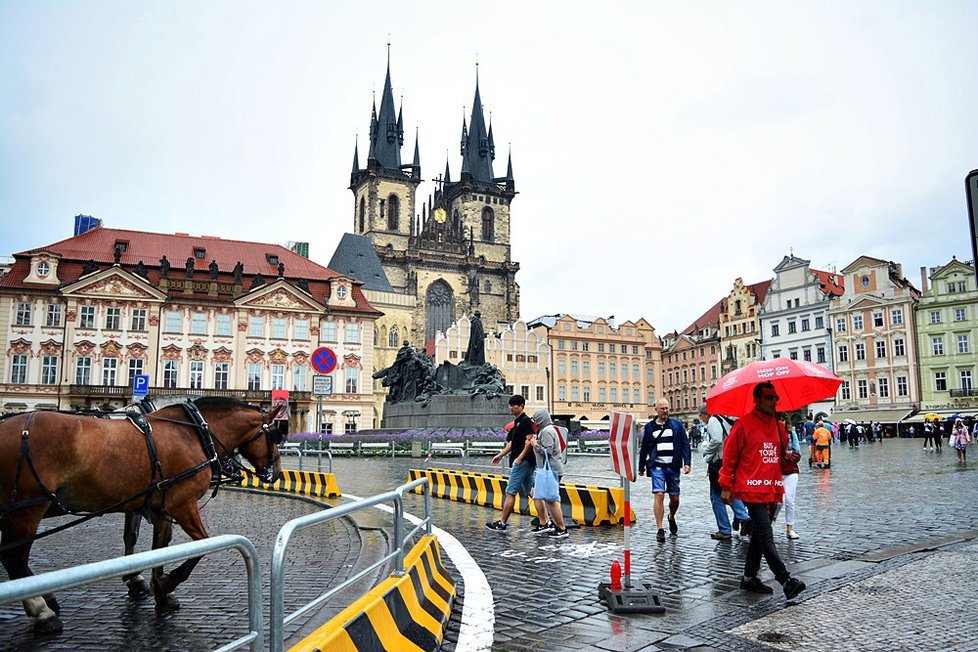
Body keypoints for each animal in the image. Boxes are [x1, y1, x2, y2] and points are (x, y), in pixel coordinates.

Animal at [0, 394, 282, 636]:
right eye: (275, 436)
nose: (277, 473)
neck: (192, 432)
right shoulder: (182, 505)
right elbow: (200, 545)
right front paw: (166, 583)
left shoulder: (159, 507)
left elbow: (158, 547)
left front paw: (158, 590)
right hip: (27, 509)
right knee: (14, 558)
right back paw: (43, 611)